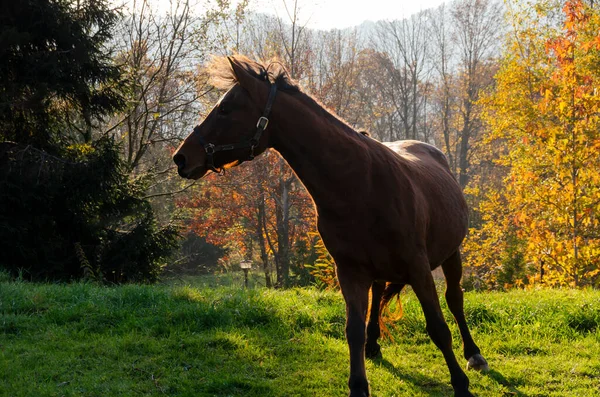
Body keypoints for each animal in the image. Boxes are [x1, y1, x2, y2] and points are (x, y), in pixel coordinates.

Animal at [172, 55, 488, 396]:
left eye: (226, 109)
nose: (181, 158)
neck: (361, 185)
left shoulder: (417, 268)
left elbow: (438, 327)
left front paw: (461, 384)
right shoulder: (350, 271)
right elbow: (353, 330)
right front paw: (358, 385)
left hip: (451, 254)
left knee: (455, 299)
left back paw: (474, 354)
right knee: (379, 295)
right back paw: (374, 345)